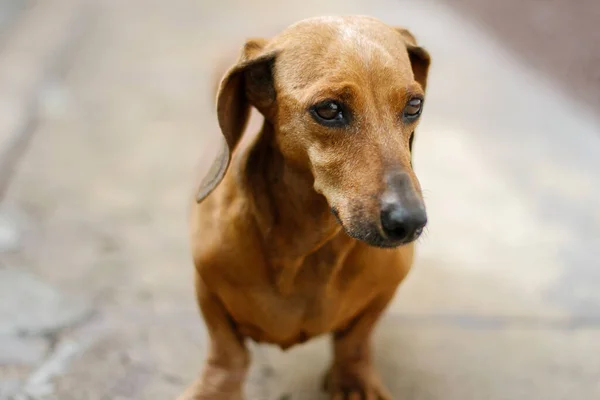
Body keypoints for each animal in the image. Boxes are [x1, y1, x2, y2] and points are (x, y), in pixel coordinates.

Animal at [180, 14, 428, 398]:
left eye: (414, 105)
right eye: (328, 109)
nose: (410, 222)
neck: (307, 249)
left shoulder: (385, 291)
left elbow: (356, 340)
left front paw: (354, 379)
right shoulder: (207, 285)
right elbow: (227, 352)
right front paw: (216, 389)